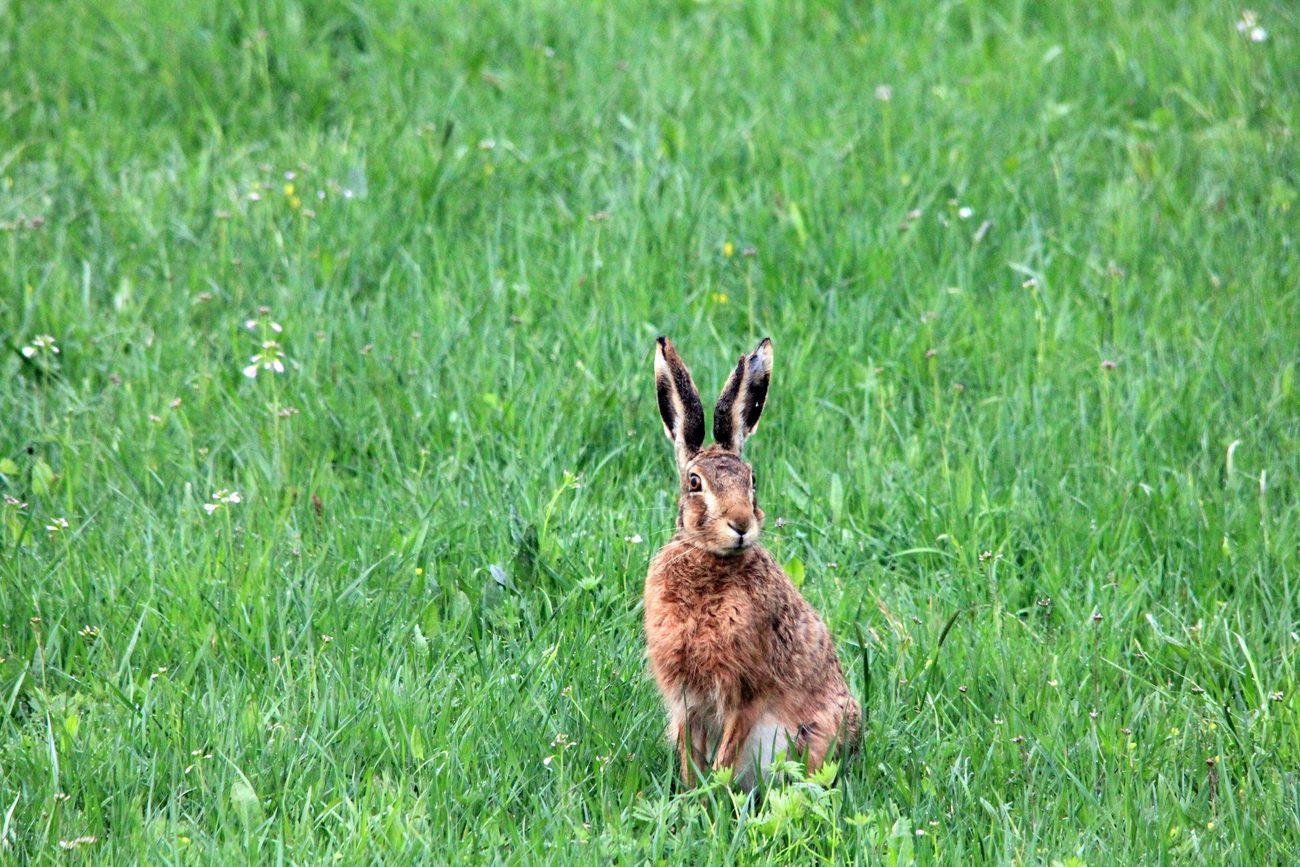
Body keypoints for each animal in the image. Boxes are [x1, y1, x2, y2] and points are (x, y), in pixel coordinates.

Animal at [642, 335, 863, 790]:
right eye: (695, 483)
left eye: (752, 481)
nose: (741, 524)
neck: (709, 563)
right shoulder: (685, 698)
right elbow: (692, 754)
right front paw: (692, 795)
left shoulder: (746, 692)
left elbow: (726, 753)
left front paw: (711, 794)